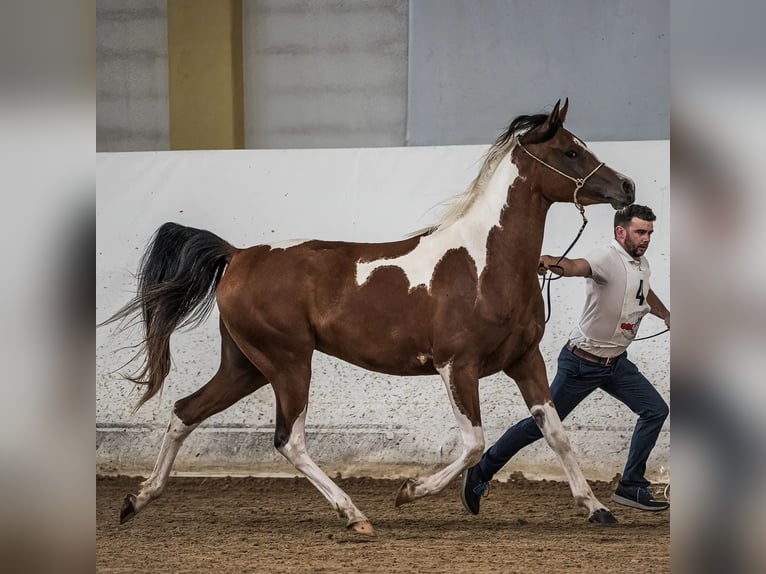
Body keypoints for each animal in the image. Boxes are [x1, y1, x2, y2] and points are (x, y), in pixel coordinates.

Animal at [106, 99, 636, 536]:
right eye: (570, 151)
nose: (627, 187)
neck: (485, 261)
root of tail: (237, 256)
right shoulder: (457, 367)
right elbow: (473, 442)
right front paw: (409, 492)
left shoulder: (525, 360)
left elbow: (556, 433)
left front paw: (596, 508)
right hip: (288, 363)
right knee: (289, 440)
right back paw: (354, 515)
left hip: (246, 366)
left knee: (185, 411)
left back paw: (138, 499)